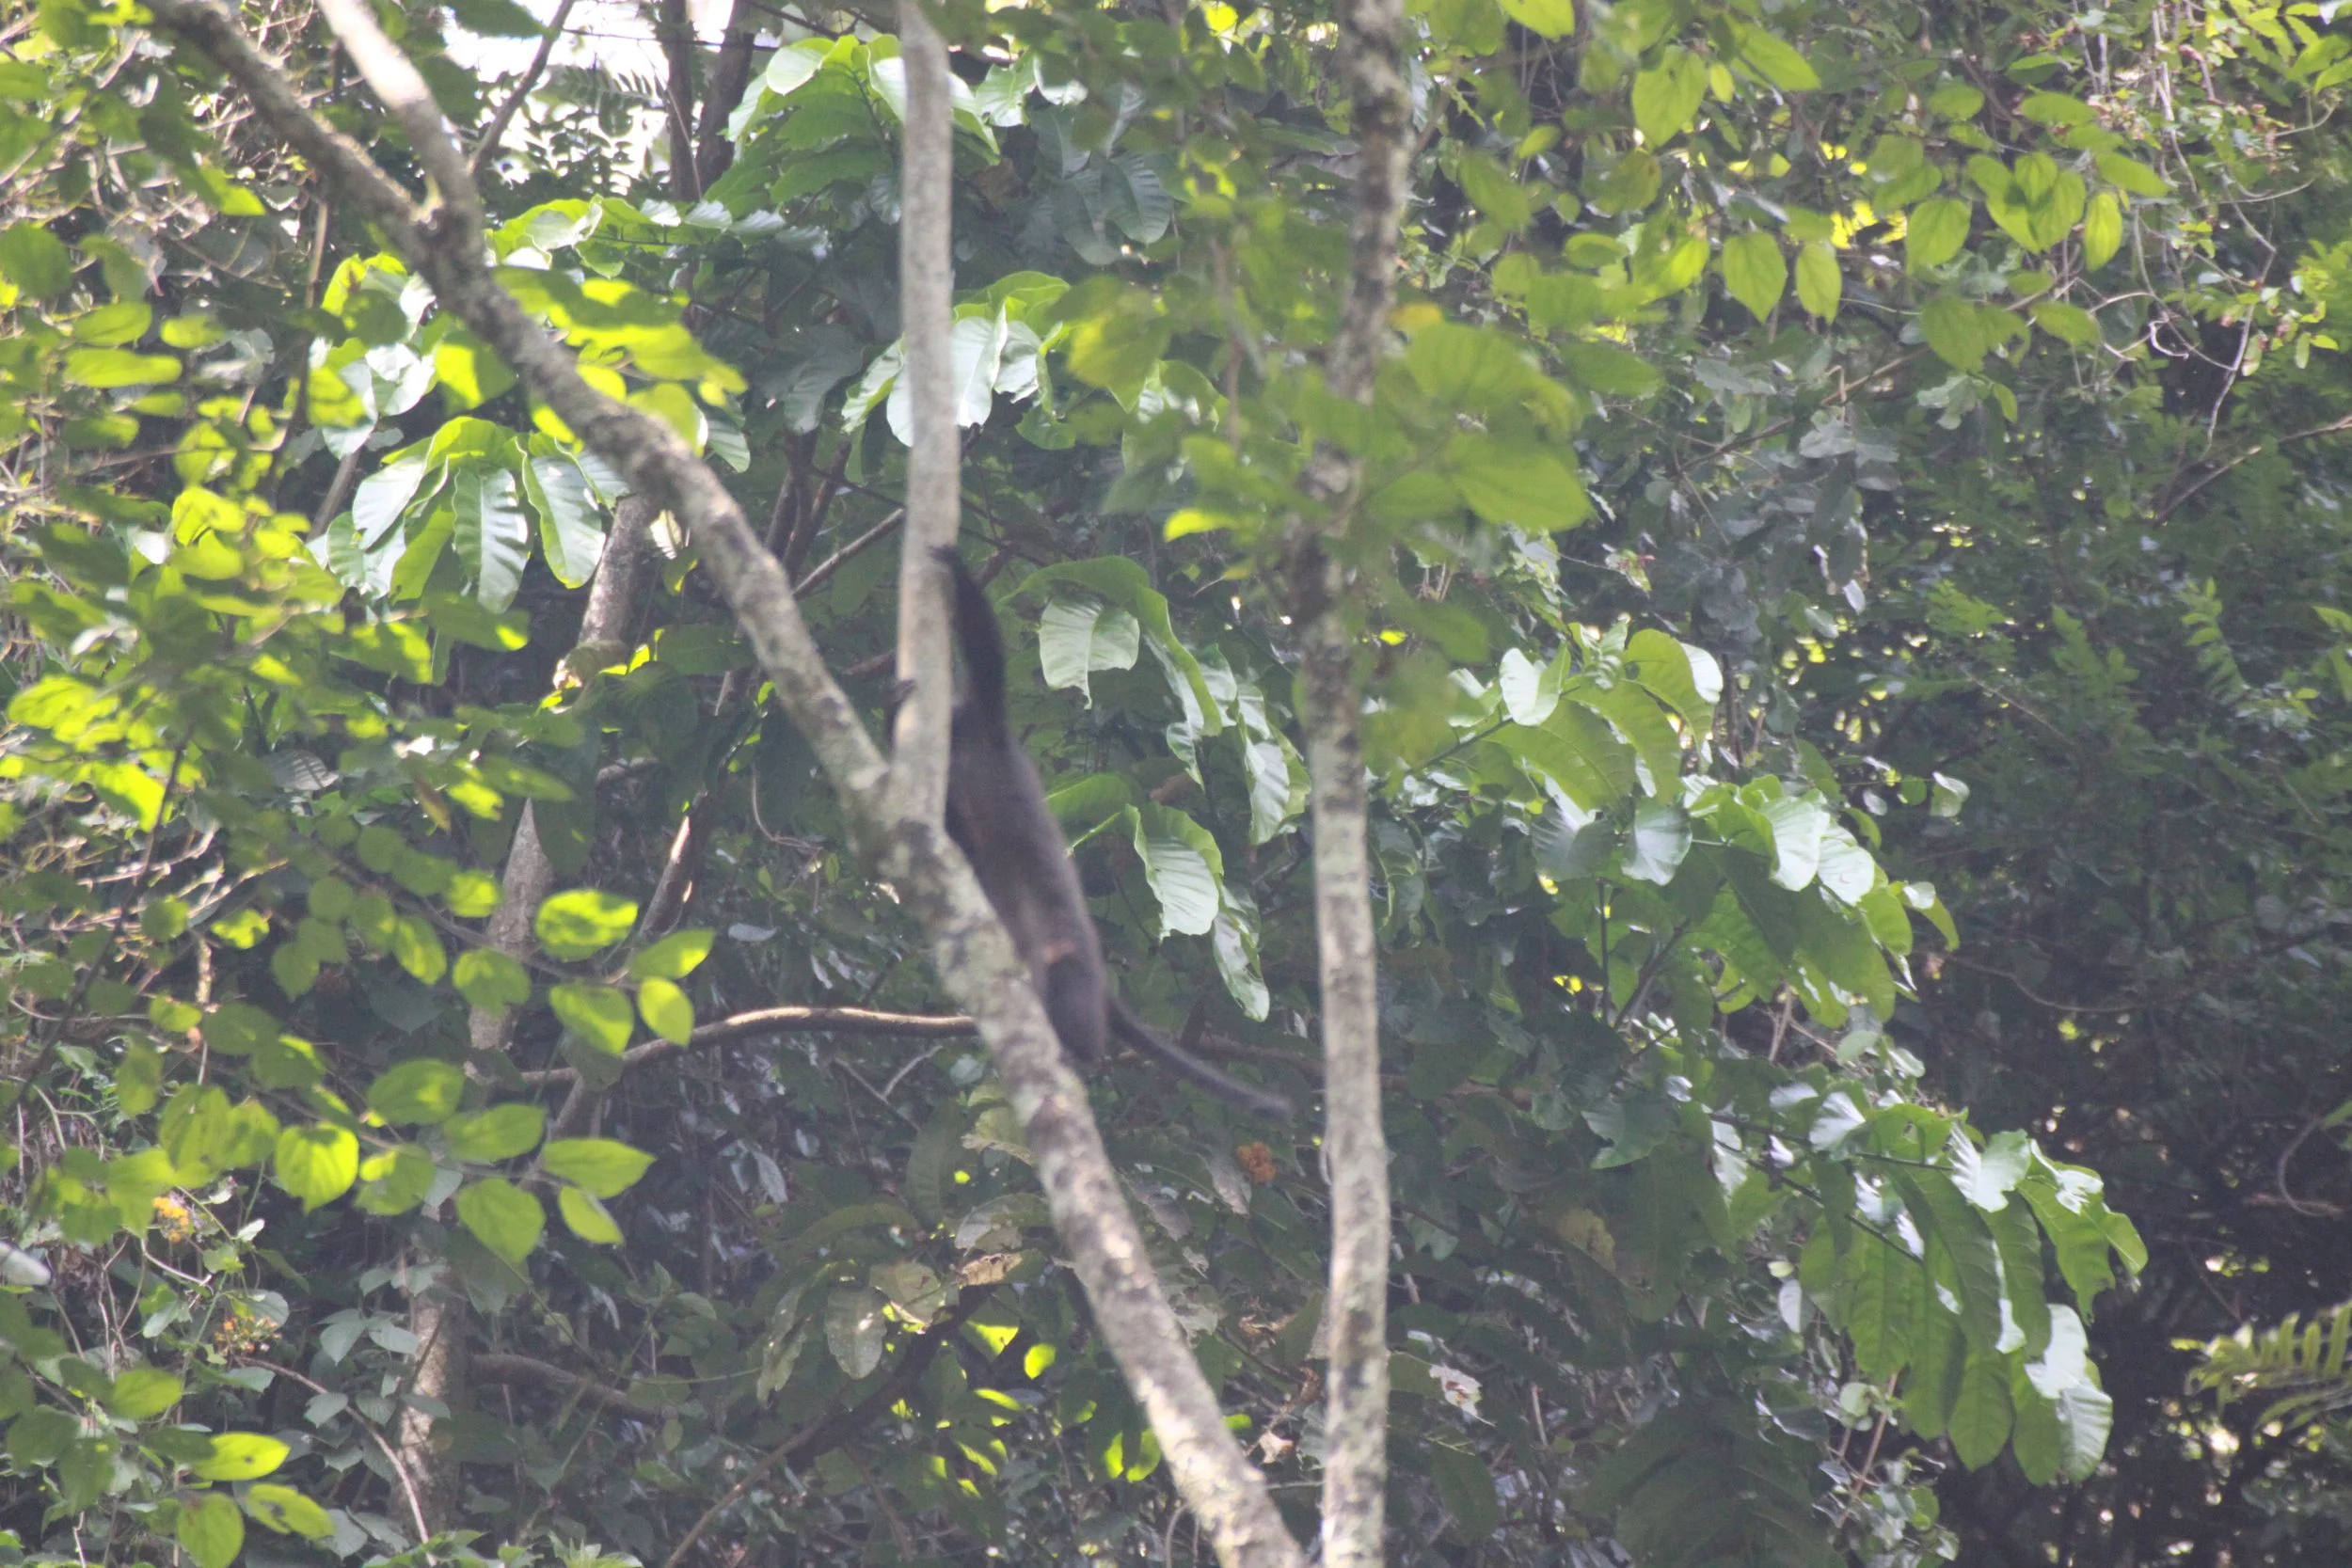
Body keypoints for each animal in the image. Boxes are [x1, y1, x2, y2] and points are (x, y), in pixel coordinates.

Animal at [934, 547, 1295, 1120]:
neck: (964, 746)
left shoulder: (987, 720)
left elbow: (987, 653)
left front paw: (953, 566)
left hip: (1073, 966)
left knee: (1065, 980)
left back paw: (1078, 1052)